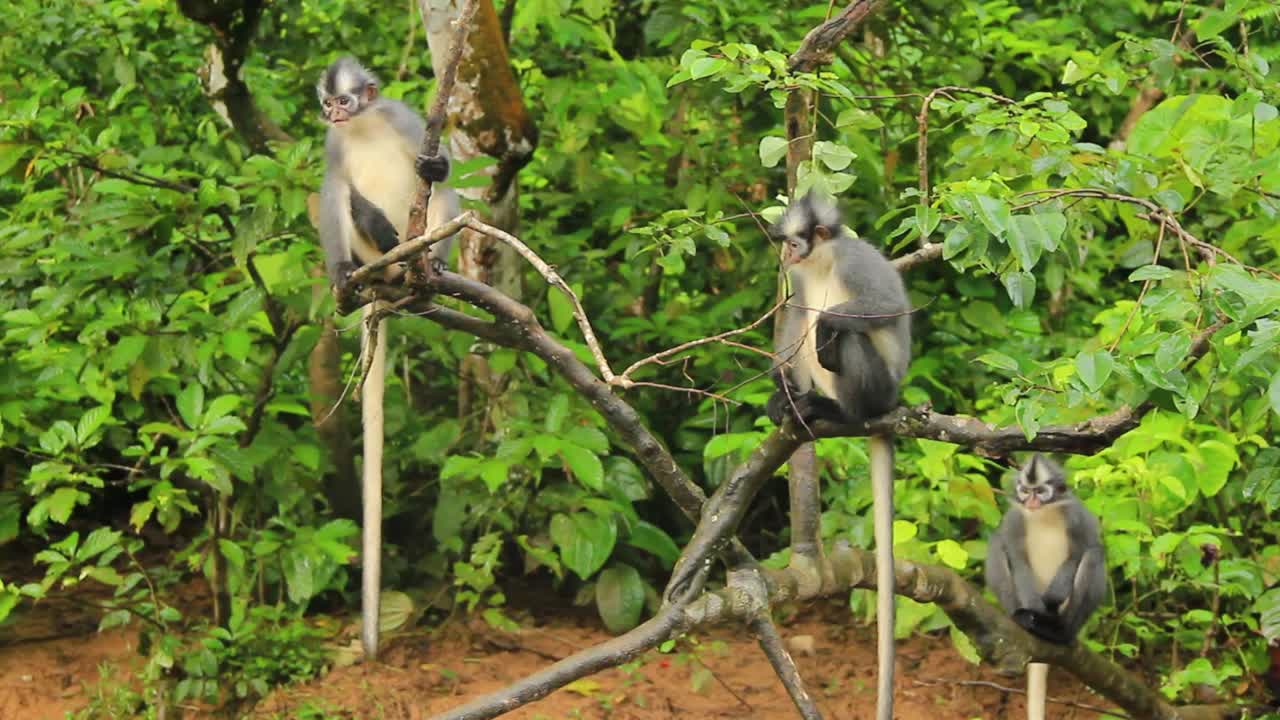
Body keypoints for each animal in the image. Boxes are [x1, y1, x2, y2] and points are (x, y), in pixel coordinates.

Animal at [765, 193, 912, 720]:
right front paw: (779, 391)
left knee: (840, 335)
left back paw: (838, 408)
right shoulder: (803, 279)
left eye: (795, 241)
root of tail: (893, 404)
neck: (823, 262)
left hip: (878, 389)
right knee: (806, 324)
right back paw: (797, 402)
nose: (786, 254)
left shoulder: (857, 259)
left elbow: (886, 306)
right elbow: (793, 313)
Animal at [985, 454, 1107, 720]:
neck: (1043, 514)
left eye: (1040, 491)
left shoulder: (1077, 516)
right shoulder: (1014, 520)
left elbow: (1080, 551)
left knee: (1094, 554)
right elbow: (1017, 558)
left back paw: (1059, 632)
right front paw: (1031, 613)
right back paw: (1024, 620)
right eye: (1025, 490)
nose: (1031, 501)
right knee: (996, 543)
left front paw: (1052, 598)